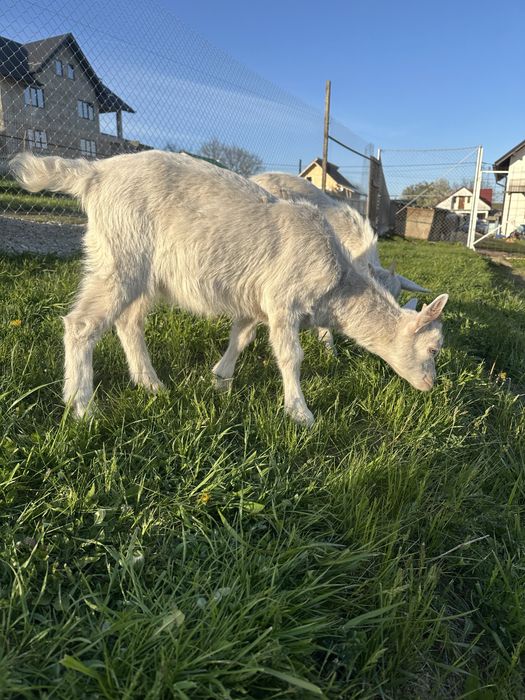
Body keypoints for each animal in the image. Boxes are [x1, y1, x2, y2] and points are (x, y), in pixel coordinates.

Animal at [11, 150, 448, 426]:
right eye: (433, 349)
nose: (430, 386)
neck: (339, 283)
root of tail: (94, 174)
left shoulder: (259, 302)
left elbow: (242, 334)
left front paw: (220, 380)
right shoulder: (284, 299)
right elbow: (290, 357)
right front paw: (300, 413)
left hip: (142, 270)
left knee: (128, 322)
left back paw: (151, 385)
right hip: (120, 255)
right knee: (82, 325)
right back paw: (83, 407)